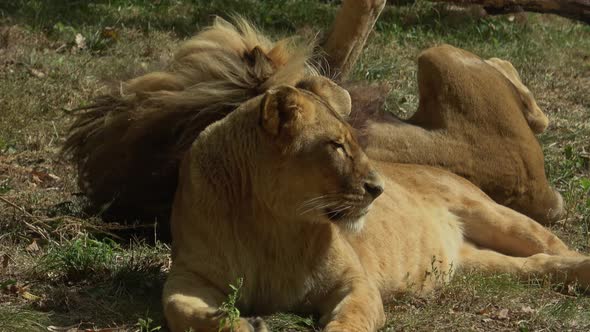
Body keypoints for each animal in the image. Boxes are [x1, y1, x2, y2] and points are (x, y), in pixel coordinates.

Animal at [164, 76, 590, 332]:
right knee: (533, 265)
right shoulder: (190, 274)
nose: (378, 188)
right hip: (473, 262)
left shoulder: (356, 283)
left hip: (492, 214)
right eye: (336, 146)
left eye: (355, 141)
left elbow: (350, 321)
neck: (273, 224)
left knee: (553, 246)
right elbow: (179, 308)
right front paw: (235, 321)